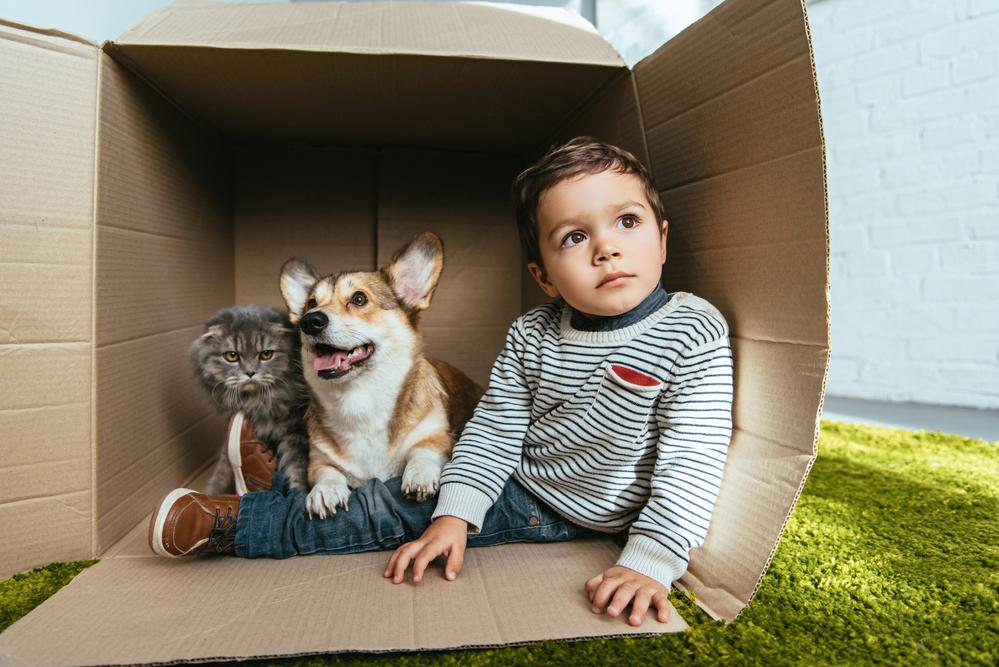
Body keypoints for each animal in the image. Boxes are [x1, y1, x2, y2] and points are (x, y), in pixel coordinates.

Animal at [189, 306, 308, 494]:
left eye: (266, 354)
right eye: (232, 356)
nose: (250, 373)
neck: (257, 402)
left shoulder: (297, 432)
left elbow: (299, 470)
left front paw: (301, 496)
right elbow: (221, 471)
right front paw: (209, 493)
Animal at [282, 232, 484, 520]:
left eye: (358, 299)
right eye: (311, 304)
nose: (309, 321)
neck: (359, 398)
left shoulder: (439, 436)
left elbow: (422, 450)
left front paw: (419, 474)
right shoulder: (316, 460)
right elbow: (326, 473)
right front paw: (324, 491)